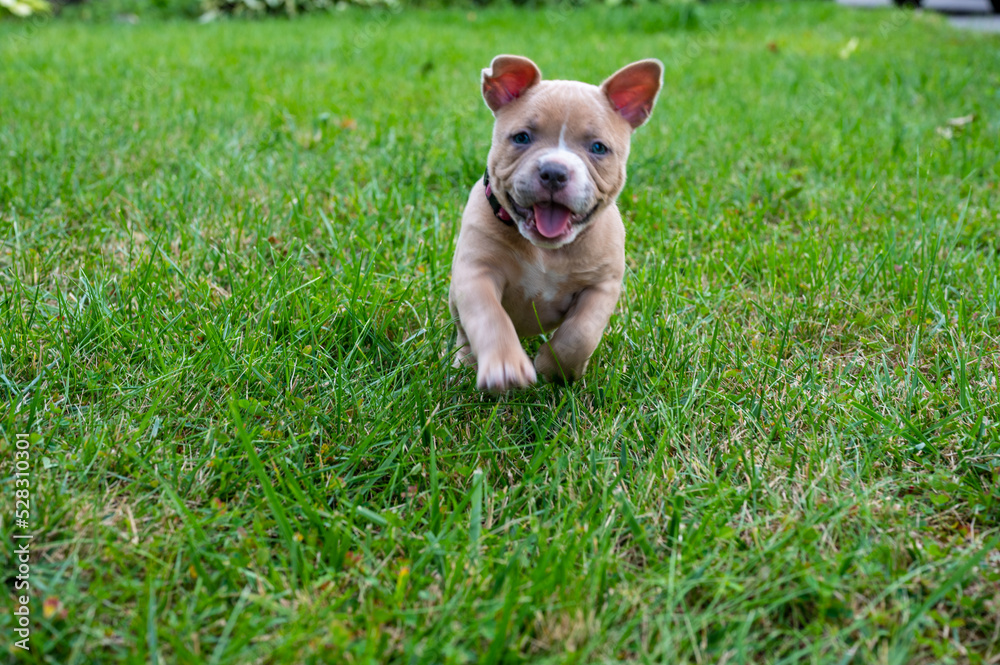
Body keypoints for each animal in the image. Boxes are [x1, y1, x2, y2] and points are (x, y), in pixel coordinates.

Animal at [450, 55, 660, 394]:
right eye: (521, 137)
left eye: (598, 148)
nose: (554, 171)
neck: (546, 250)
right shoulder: (476, 273)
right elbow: (490, 317)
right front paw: (506, 365)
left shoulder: (602, 286)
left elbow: (580, 333)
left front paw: (555, 369)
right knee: (464, 335)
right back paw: (463, 366)